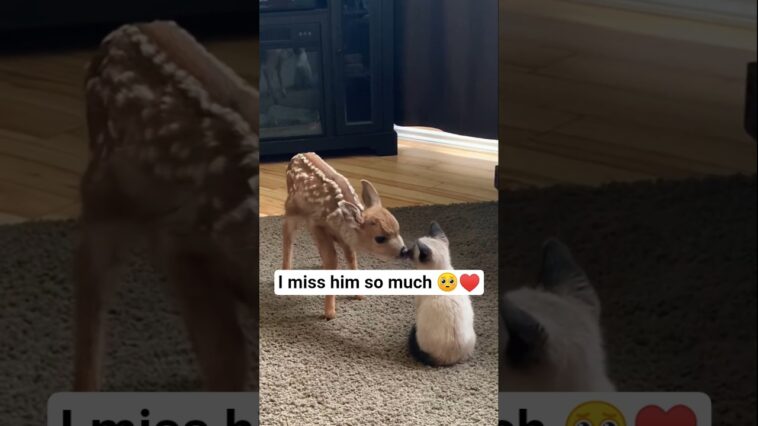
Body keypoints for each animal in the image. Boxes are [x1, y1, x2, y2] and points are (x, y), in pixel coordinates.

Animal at [282, 152, 407, 320]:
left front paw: (359, 295)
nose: (403, 251)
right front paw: (329, 313)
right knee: (287, 233)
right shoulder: (317, 225)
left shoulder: (345, 239)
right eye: (380, 238)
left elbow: (351, 257)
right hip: (291, 208)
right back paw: (286, 271)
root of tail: (297, 156)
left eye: (398, 229)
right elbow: (332, 259)